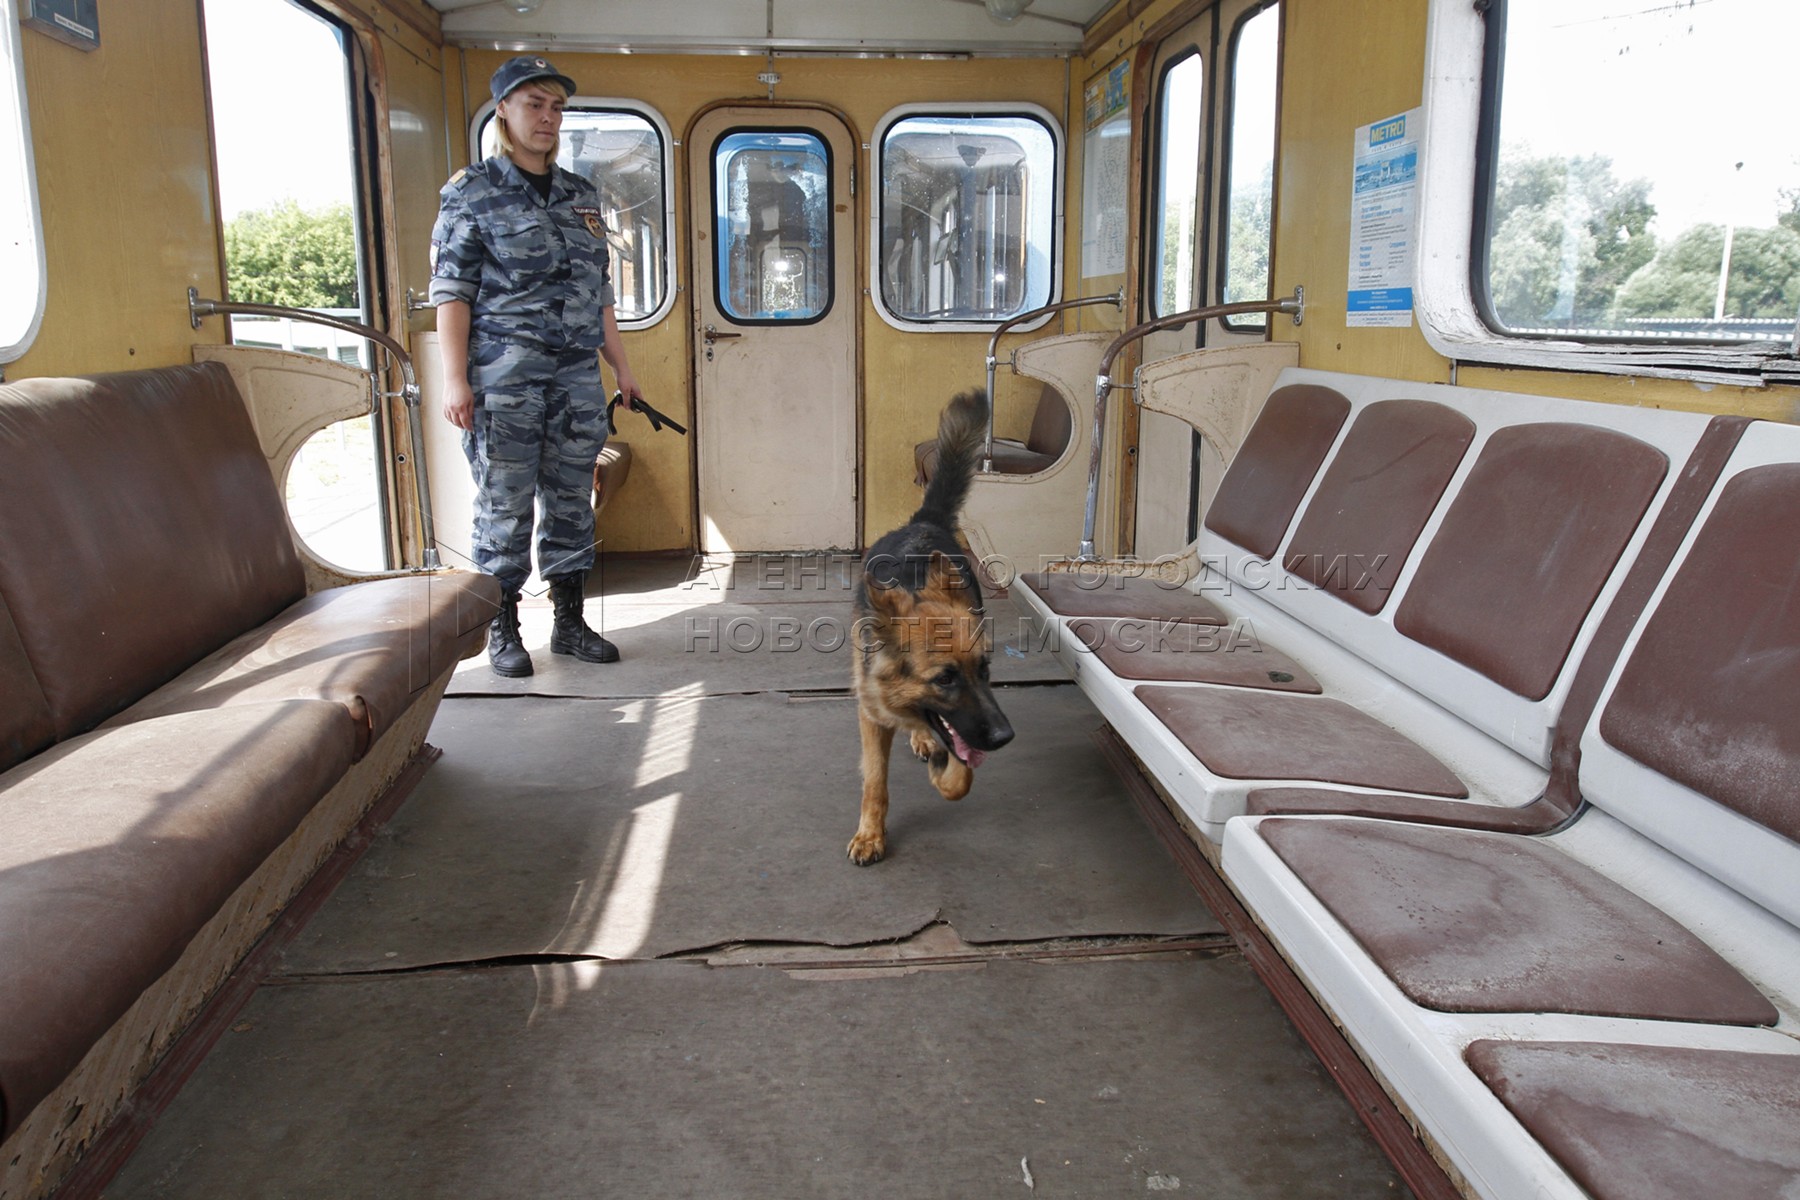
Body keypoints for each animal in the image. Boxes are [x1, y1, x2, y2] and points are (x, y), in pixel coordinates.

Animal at [846, 394, 1015, 863]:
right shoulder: (871, 714)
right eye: (944, 679)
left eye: (986, 670)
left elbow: (960, 778)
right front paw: (871, 834)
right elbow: (874, 781)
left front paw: (944, 771)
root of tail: (923, 522)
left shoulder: (963, 732)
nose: (1005, 737)